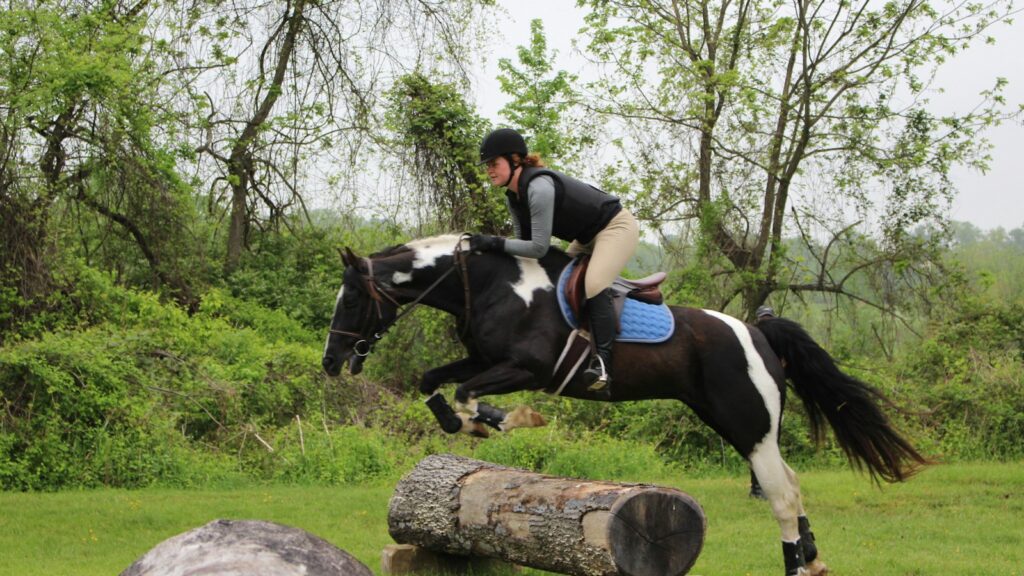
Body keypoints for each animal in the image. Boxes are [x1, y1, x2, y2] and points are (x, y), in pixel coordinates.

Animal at [321, 234, 929, 576]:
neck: (493, 282)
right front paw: (458, 421)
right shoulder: (481, 359)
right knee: (792, 482)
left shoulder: (528, 369)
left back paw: (794, 566)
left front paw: (503, 420)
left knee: (780, 492)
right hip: (736, 423)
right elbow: (435, 382)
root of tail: (757, 331)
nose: (331, 361)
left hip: (747, 423)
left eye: (352, 300)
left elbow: (474, 395)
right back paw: (813, 556)